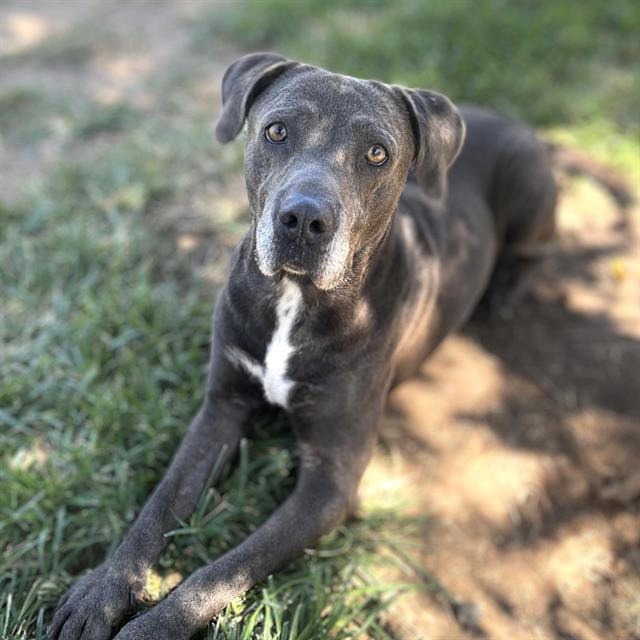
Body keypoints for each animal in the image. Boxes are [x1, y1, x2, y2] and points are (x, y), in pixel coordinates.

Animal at [50, 53, 556, 640]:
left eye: (377, 153)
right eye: (276, 131)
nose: (304, 219)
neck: (295, 299)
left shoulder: (329, 482)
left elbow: (225, 569)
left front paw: (150, 628)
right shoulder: (220, 410)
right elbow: (157, 508)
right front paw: (100, 592)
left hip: (528, 191)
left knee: (537, 252)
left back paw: (503, 292)